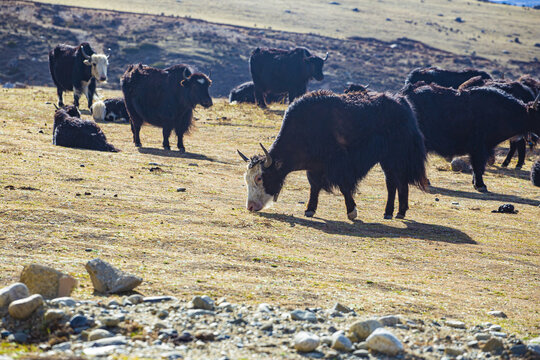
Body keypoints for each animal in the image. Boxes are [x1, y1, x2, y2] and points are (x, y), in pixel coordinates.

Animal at [238, 90, 428, 219]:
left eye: (259, 178)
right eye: (246, 178)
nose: (250, 207)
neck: (305, 130)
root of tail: (403, 103)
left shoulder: (339, 164)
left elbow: (344, 186)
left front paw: (352, 211)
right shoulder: (314, 167)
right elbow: (314, 186)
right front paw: (310, 209)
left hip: (395, 156)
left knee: (397, 181)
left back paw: (397, 212)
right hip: (388, 159)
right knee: (394, 182)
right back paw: (392, 212)